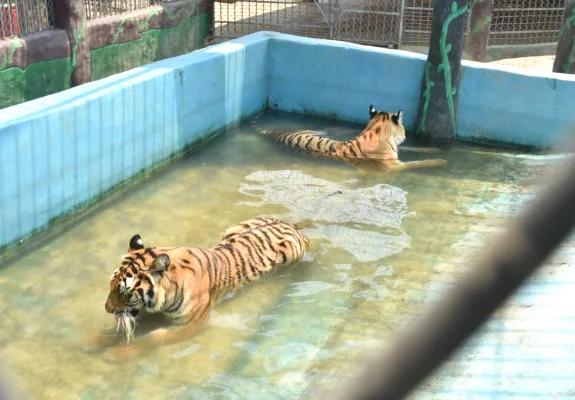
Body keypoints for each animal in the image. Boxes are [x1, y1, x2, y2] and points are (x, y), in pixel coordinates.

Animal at [89, 217, 310, 360]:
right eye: (111, 287)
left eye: (125, 293)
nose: (107, 309)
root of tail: (290, 224)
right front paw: (93, 341)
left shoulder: (189, 325)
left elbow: (153, 337)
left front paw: (116, 353)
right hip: (232, 228)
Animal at [253, 104, 450, 172]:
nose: (405, 133)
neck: (375, 128)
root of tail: (270, 132)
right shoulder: (393, 165)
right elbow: (417, 163)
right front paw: (440, 160)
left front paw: (433, 149)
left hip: (315, 130)